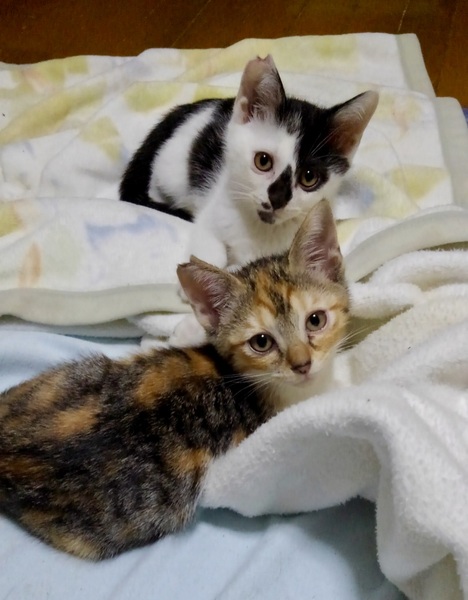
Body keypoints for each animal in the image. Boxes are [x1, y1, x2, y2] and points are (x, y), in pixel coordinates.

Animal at [120, 54, 378, 270]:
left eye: (309, 177)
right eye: (263, 161)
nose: (277, 198)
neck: (261, 229)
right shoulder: (211, 214)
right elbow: (210, 250)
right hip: (172, 171)